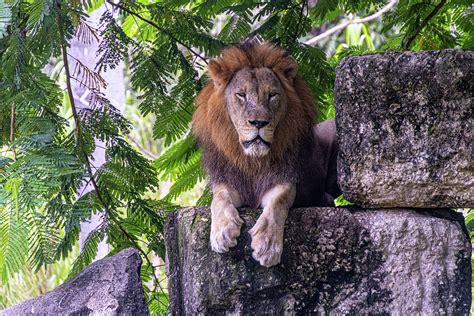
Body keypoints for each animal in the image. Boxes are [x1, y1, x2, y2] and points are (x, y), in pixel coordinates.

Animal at [193, 42, 340, 266]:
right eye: (241, 95)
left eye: (272, 95)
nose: (259, 123)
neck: (253, 161)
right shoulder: (228, 180)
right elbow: (219, 199)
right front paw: (222, 232)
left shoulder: (283, 180)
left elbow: (278, 202)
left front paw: (268, 245)